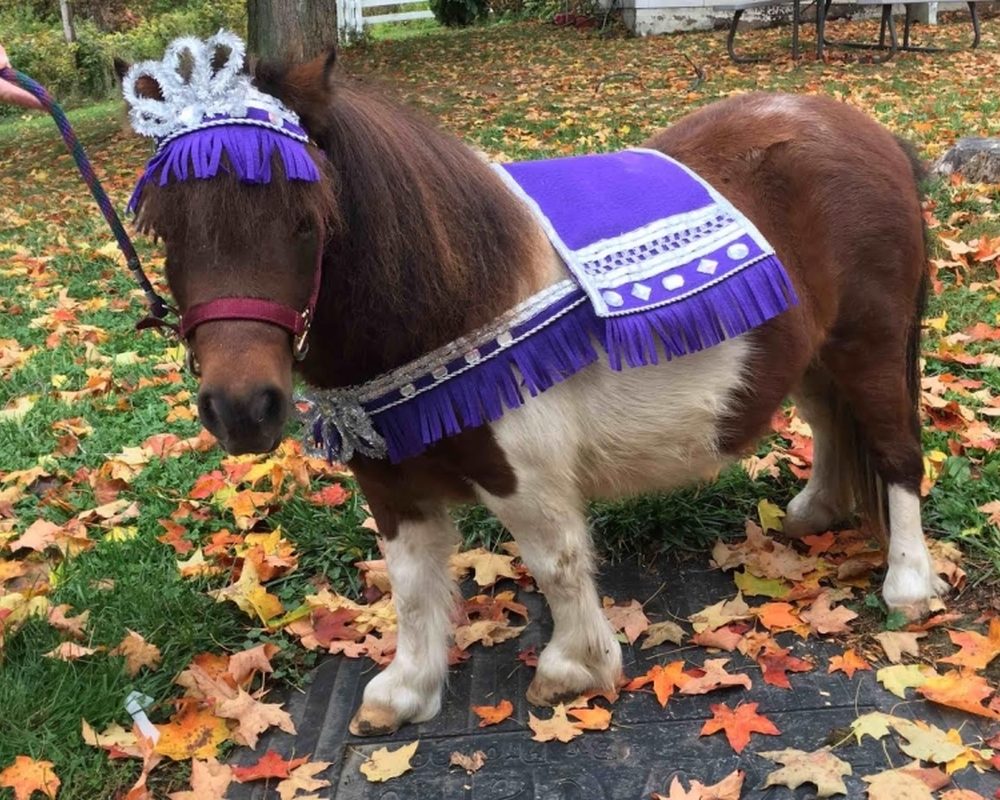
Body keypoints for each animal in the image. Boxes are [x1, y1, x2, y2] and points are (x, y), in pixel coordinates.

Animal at [121, 51, 940, 736]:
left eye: (305, 219)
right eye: (166, 232)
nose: (240, 409)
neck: (458, 302)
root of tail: (874, 136)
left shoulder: (523, 474)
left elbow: (556, 561)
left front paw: (574, 668)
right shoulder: (391, 482)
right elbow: (412, 585)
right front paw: (407, 691)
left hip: (870, 346)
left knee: (897, 452)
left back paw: (907, 584)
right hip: (815, 358)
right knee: (834, 427)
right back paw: (815, 512)